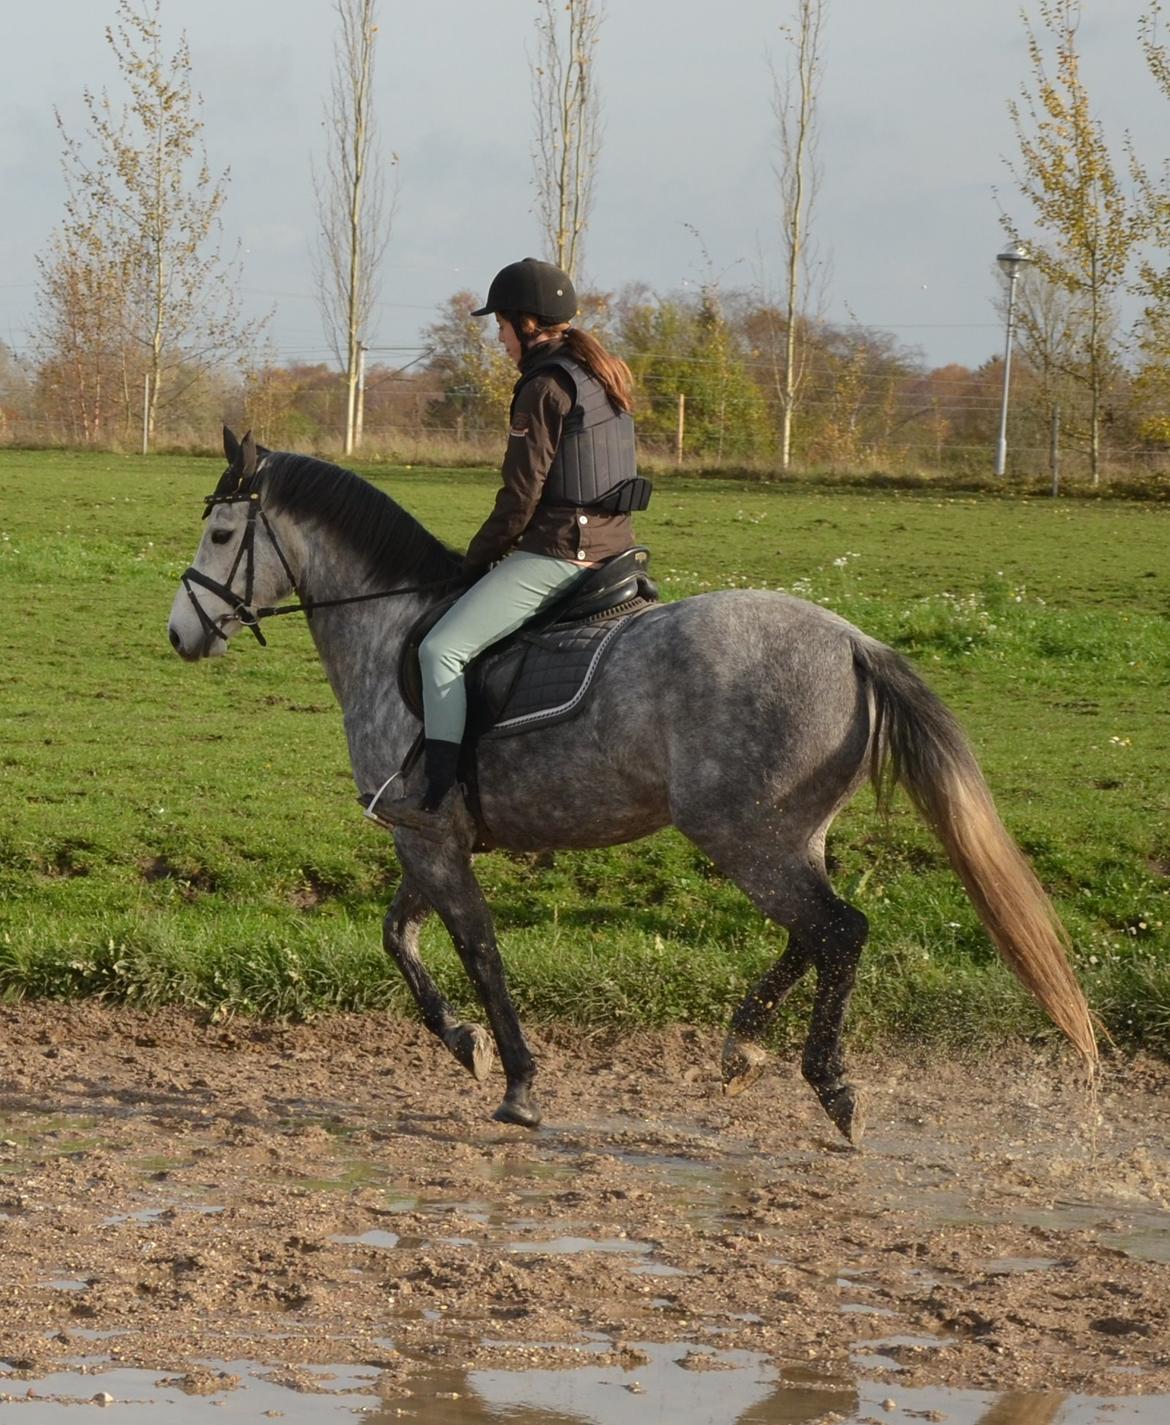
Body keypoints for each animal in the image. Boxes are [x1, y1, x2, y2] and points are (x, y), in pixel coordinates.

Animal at [164, 427, 1094, 1140]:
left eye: (221, 536)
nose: (179, 634)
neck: (392, 623)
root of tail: (853, 642)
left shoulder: (428, 840)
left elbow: (479, 952)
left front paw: (518, 1078)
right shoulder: (429, 836)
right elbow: (401, 939)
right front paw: (465, 1043)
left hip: (744, 836)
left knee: (838, 931)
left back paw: (827, 1082)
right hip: (785, 835)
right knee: (814, 933)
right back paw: (743, 1046)